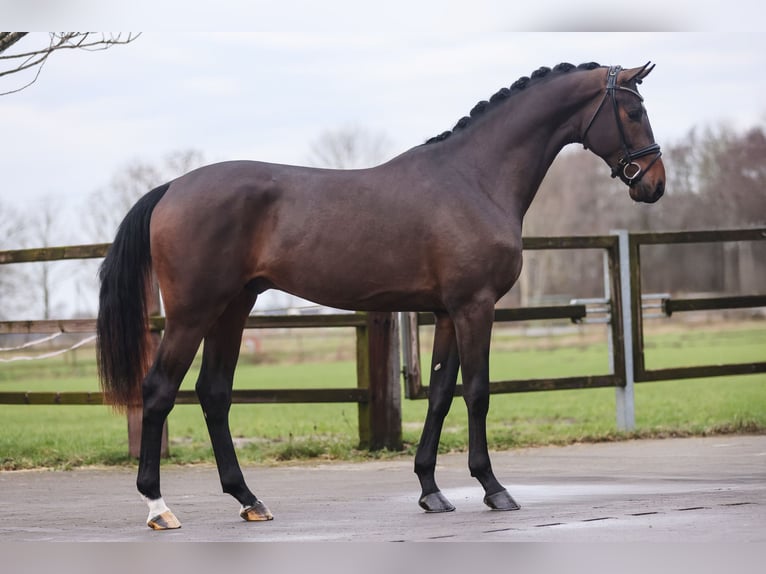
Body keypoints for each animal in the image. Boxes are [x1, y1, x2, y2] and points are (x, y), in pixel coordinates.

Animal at [97, 62, 664, 532]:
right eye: (633, 111)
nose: (654, 185)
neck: (474, 178)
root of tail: (172, 188)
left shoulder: (446, 313)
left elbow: (440, 394)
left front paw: (431, 490)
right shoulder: (474, 307)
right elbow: (477, 392)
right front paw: (493, 488)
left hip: (233, 309)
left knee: (214, 393)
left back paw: (249, 500)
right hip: (193, 313)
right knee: (159, 390)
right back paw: (158, 507)